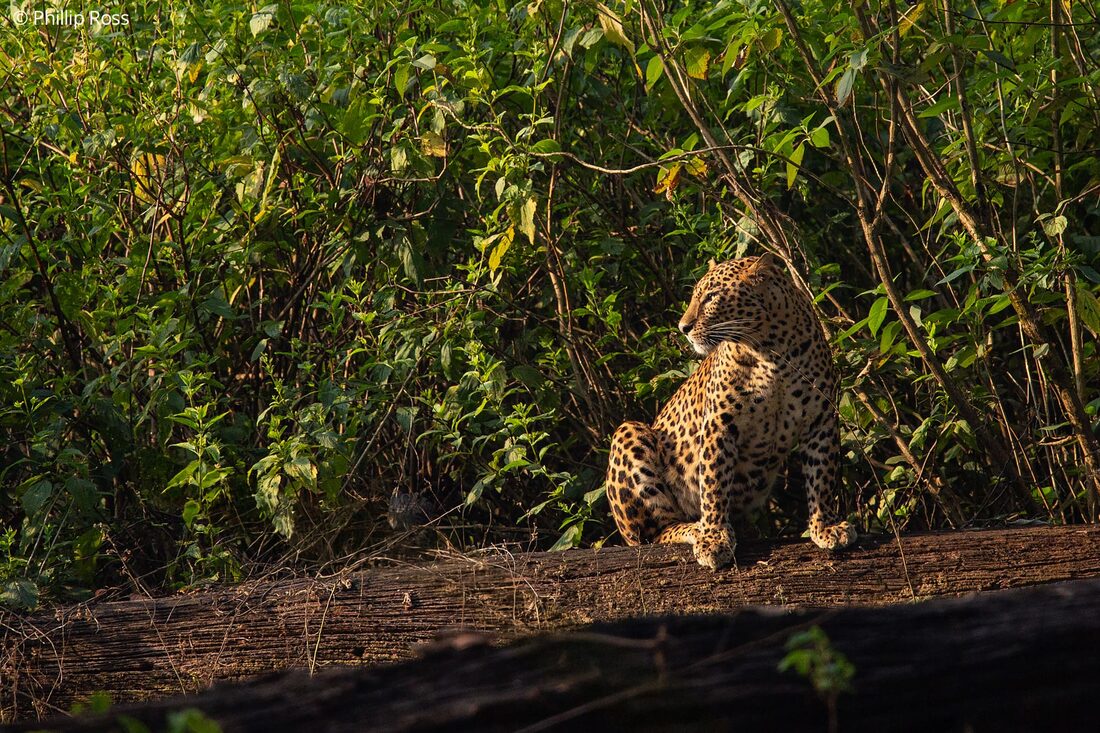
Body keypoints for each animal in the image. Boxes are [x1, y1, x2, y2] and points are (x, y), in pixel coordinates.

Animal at [605, 253, 856, 571]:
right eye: (694, 297)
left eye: (711, 297)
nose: (683, 327)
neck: (771, 351)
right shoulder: (718, 425)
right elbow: (714, 483)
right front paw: (713, 538)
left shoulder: (820, 418)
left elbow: (822, 476)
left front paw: (826, 526)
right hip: (628, 433)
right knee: (656, 533)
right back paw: (696, 528)